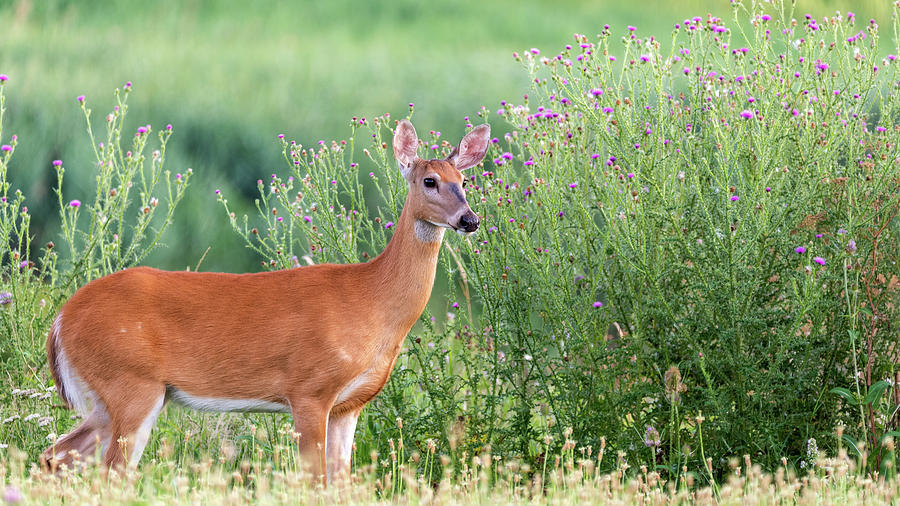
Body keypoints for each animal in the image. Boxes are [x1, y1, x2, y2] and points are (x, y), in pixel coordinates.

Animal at [40, 117, 492, 482]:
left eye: (465, 182)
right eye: (429, 181)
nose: (469, 220)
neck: (371, 299)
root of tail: (60, 320)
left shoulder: (349, 405)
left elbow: (342, 483)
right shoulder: (309, 388)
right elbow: (315, 481)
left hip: (111, 395)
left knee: (57, 454)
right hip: (131, 382)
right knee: (110, 471)